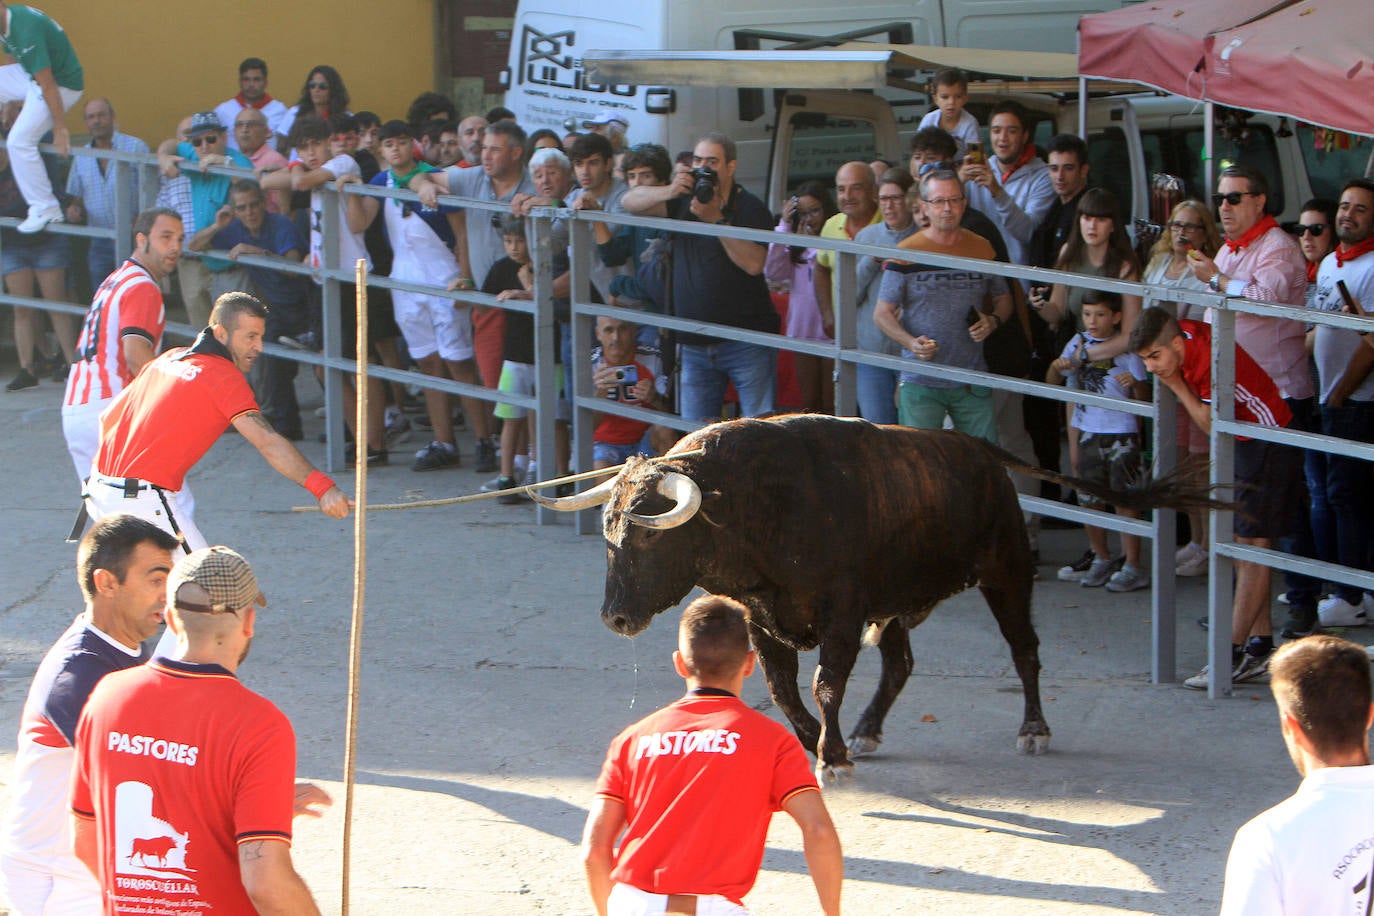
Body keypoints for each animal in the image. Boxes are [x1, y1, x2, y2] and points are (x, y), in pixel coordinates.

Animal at [530, 414, 1220, 774]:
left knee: (1025, 649)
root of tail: (977, 450)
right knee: (900, 664)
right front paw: (819, 741)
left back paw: (1034, 728)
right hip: (897, 607)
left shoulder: (842, 614)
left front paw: (831, 755)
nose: (615, 618)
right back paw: (867, 730)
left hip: (1006, 573)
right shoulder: (764, 617)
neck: (756, 506)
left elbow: (824, 683)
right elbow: (786, 690)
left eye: (648, 538)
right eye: (608, 535)